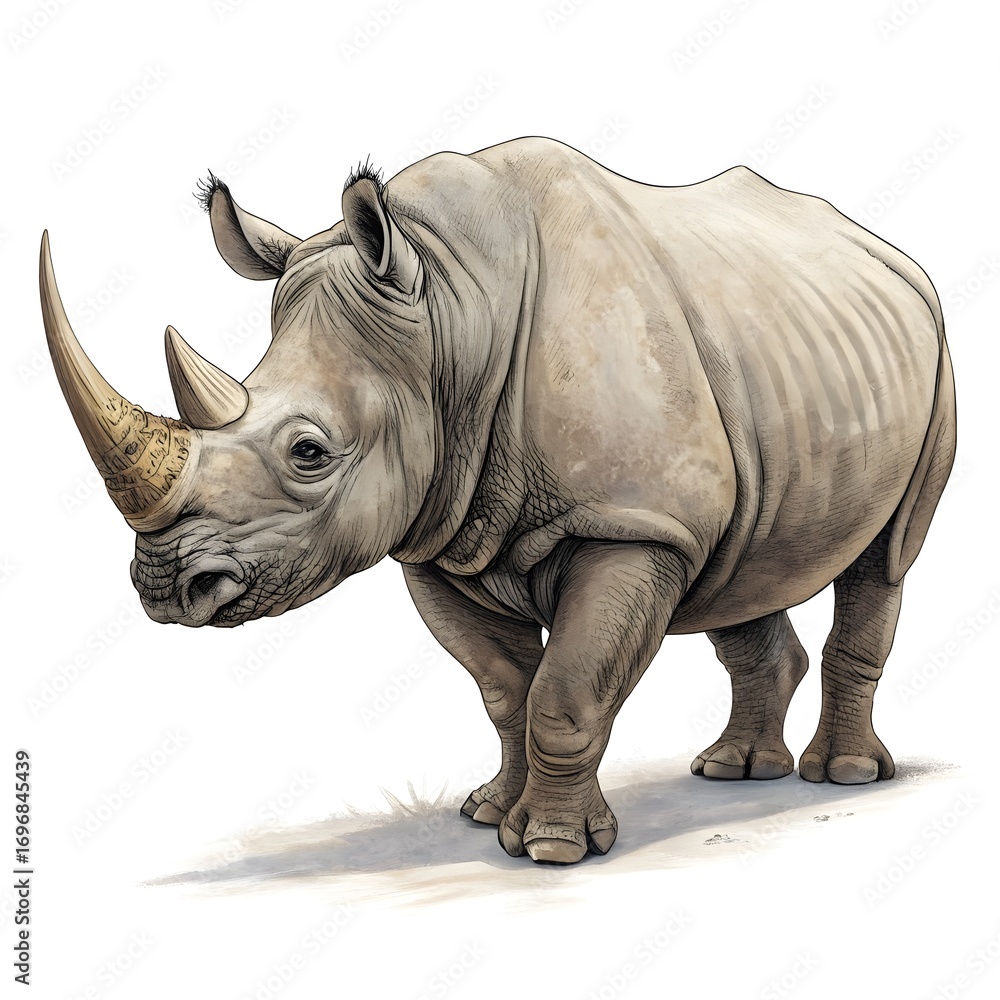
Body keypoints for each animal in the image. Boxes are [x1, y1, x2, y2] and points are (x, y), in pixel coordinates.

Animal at [41, 137, 955, 864]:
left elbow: (566, 691)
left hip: (935, 349)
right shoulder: (440, 531)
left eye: (308, 453)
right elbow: (505, 692)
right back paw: (732, 772)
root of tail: (887, 251)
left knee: (885, 557)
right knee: (739, 563)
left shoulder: (627, 525)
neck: (449, 315)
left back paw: (842, 776)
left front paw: (552, 849)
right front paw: (488, 816)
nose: (166, 585)